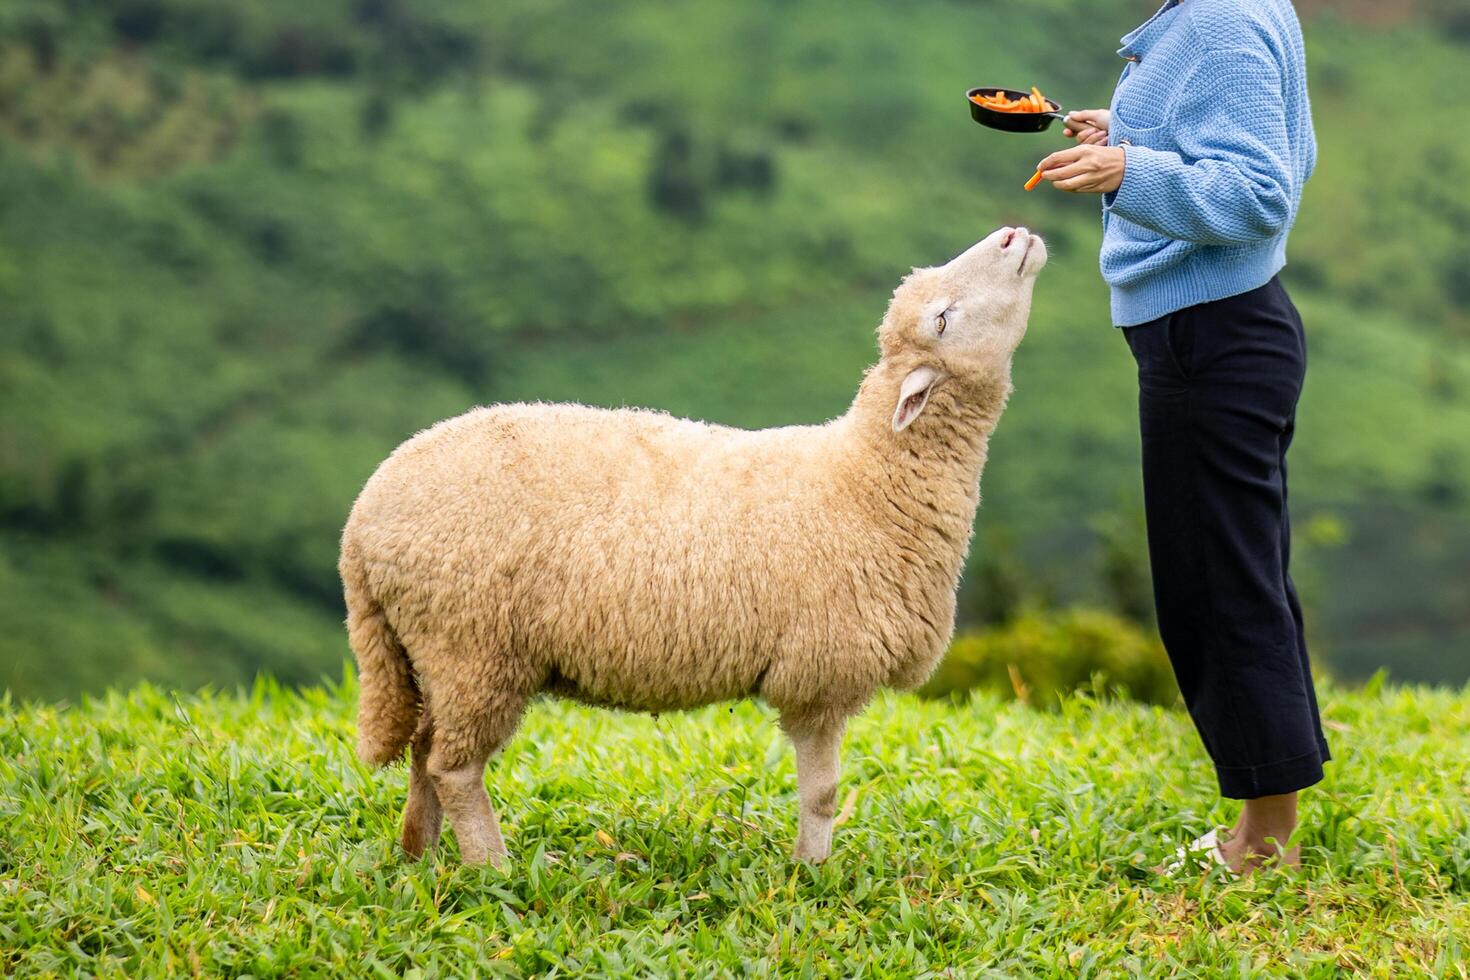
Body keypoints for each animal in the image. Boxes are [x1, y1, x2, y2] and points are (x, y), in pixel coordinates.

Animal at [338, 224, 1046, 863]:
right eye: (943, 319)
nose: (1016, 235)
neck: (866, 480)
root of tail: (362, 520)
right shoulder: (818, 673)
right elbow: (822, 794)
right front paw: (810, 875)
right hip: (472, 645)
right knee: (453, 768)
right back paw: (493, 868)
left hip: (436, 650)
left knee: (423, 751)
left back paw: (421, 854)